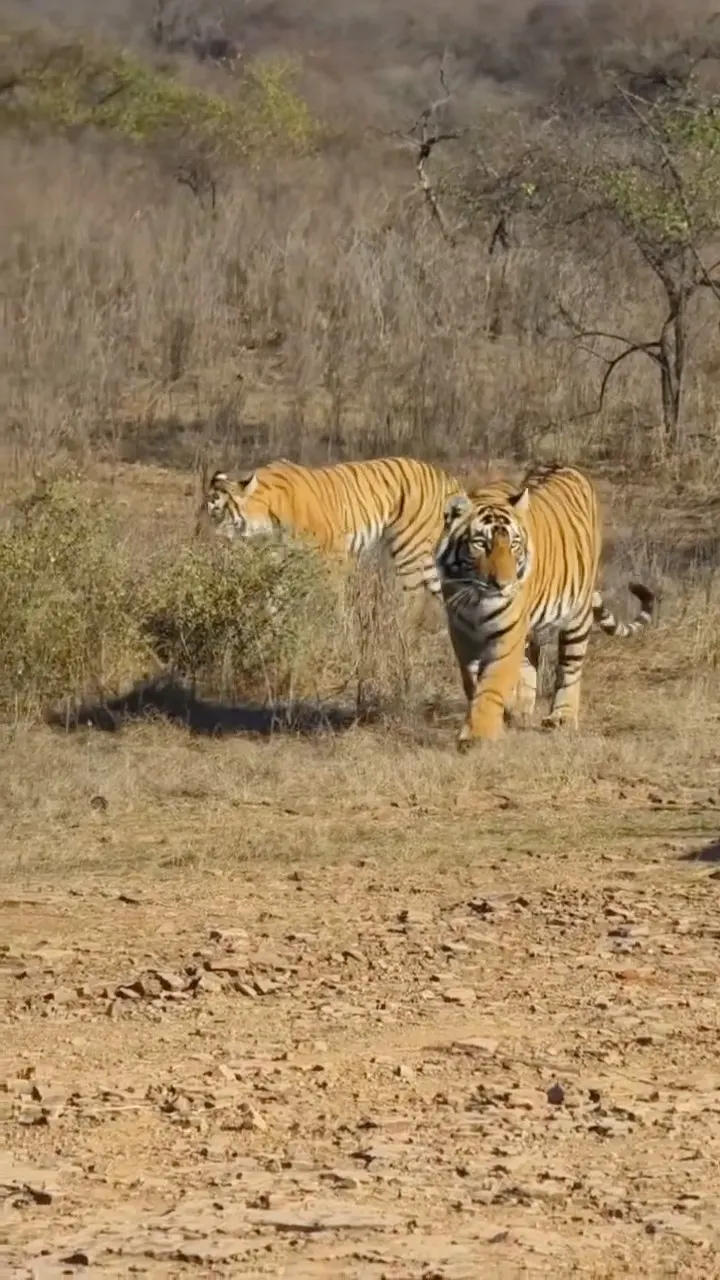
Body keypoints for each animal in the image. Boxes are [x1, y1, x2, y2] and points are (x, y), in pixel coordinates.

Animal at [199, 456, 463, 601]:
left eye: (216, 510)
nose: (204, 536)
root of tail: (446, 475)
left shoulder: (333, 556)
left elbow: (333, 600)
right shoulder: (278, 558)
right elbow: (274, 597)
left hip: (409, 547)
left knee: (414, 596)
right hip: (424, 554)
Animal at [434, 462, 655, 748]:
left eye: (514, 545)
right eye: (480, 544)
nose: (503, 585)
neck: (475, 597)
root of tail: (564, 464)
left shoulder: (507, 633)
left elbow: (492, 683)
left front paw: (478, 734)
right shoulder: (461, 631)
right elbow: (473, 680)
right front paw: (498, 713)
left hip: (577, 616)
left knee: (570, 668)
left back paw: (561, 716)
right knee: (531, 660)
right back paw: (521, 708)